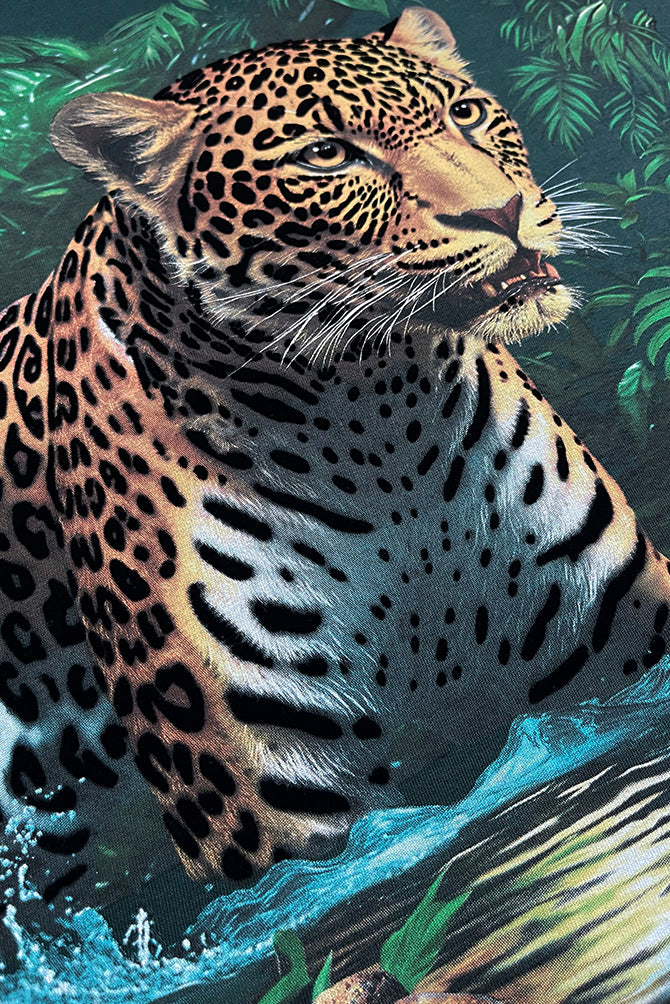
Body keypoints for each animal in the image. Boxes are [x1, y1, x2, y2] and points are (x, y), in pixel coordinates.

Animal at [2, 6, 670, 907]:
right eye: (327, 156)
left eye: (465, 113)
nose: (503, 211)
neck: (382, 425)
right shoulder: (267, 794)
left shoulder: (619, 640)